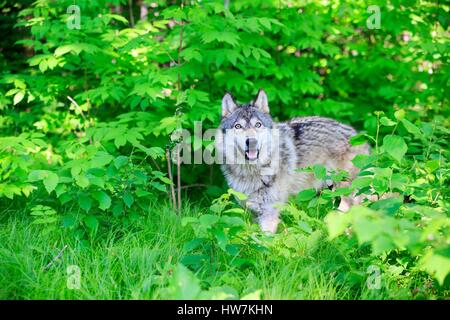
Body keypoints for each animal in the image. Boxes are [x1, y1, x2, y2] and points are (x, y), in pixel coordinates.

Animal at [215, 90, 370, 232]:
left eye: (258, 125)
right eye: (238, 126)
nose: (251, 141)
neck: (251, 172)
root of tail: (358, 135)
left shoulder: (269, 212)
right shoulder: (253, 211)